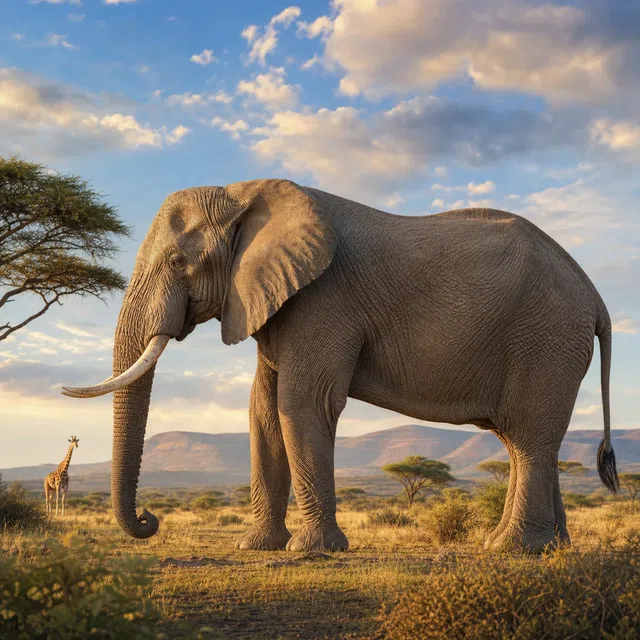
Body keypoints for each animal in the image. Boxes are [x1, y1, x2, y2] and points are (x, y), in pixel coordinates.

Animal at [62, 178, 619, 553]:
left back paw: (510, 549)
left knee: (528, 437)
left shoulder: (324, 298)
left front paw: (310, 551)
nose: (148, 517)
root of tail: (595, 296)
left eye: (179, 262)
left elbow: (301, 402)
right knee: (526, 442)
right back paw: (549, 548)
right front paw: (257, 547)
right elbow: (263, 411)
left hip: (547, 337)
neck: (244, 192)